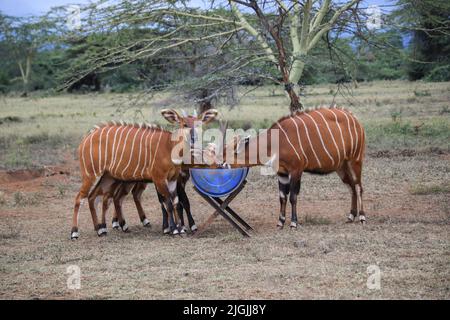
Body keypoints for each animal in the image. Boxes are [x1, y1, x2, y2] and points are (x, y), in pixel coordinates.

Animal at [70, 109, 218, 239]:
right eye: (184, 124)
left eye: (199, 124)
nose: (194, 138)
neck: (169, 146)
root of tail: (85, 139)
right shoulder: (160, 179)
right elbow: (168, 204)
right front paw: (174, 230)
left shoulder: (172, 180)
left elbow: (176, 202)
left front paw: (180, 229)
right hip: (91, 175)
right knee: (80, 198)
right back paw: (75, 232)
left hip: (108, 178)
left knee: (95, 198)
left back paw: (101, 229)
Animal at [225, 107, 366, 228]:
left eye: (228, 153)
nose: (222, 164)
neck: (276, 141)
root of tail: (356, 120)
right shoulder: (282, 173)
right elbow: (282, 197)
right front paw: (280, 222)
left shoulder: (296, 170)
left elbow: (293, 196)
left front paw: (293, 223)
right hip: (341, 167)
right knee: (352, 187)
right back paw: (351, 216)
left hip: (355, 160)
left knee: (358, 186)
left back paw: (362, 217)